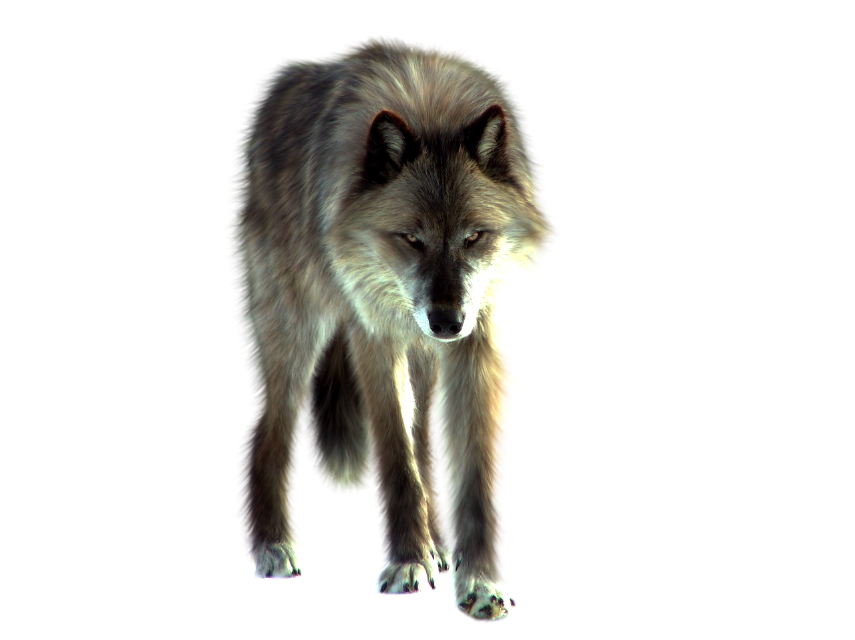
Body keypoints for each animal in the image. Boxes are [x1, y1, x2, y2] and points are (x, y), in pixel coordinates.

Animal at [228, 36, 559, 624]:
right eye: (412, 238)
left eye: (474, 236)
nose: (445, 321)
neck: (429, 105)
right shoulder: (375, 339)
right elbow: (396, 458)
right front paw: (407, 563)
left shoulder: (476, 345)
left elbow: (472, 473)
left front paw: (481, 583)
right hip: (296, 330)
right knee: (266, 434)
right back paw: (273, 547)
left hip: (422, 357)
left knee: (426, 438)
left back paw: (440, 542)